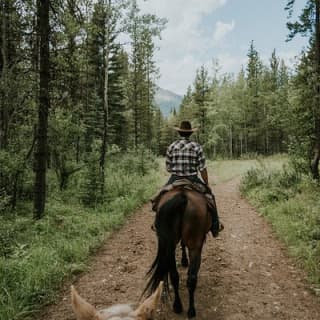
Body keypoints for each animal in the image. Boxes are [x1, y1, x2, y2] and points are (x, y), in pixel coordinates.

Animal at [144, 189, 211, 318]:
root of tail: (182, 196)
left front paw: (184, 261)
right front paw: (185, 261)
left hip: (169, 246)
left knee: (175, 275)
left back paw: (178, 306)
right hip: (195, 246)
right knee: (190, 278)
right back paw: (190, 310)